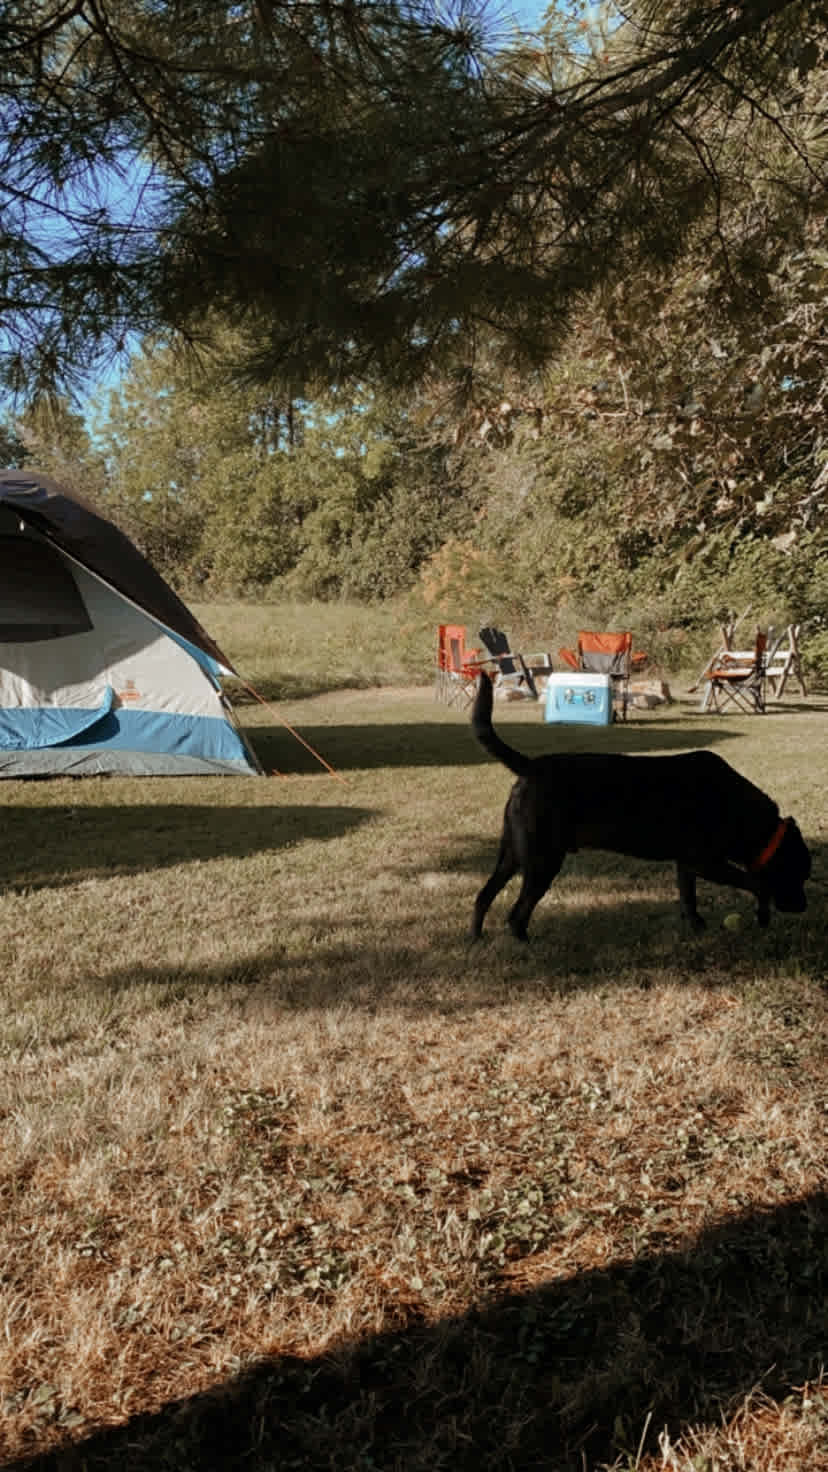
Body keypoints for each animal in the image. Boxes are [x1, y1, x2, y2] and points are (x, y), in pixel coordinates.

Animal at [471, 671, 807, 936]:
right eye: (800, 873)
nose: (803, 908)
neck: (746, 814)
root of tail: (531, 766)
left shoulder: (687, 864)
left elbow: (689, 898)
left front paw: (697, 927)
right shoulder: (706, 862)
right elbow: (757, 883)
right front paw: (762, 915)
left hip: (513, 854)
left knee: (483, 896)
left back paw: (476, 939)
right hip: (543, 860)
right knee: (516, 915)